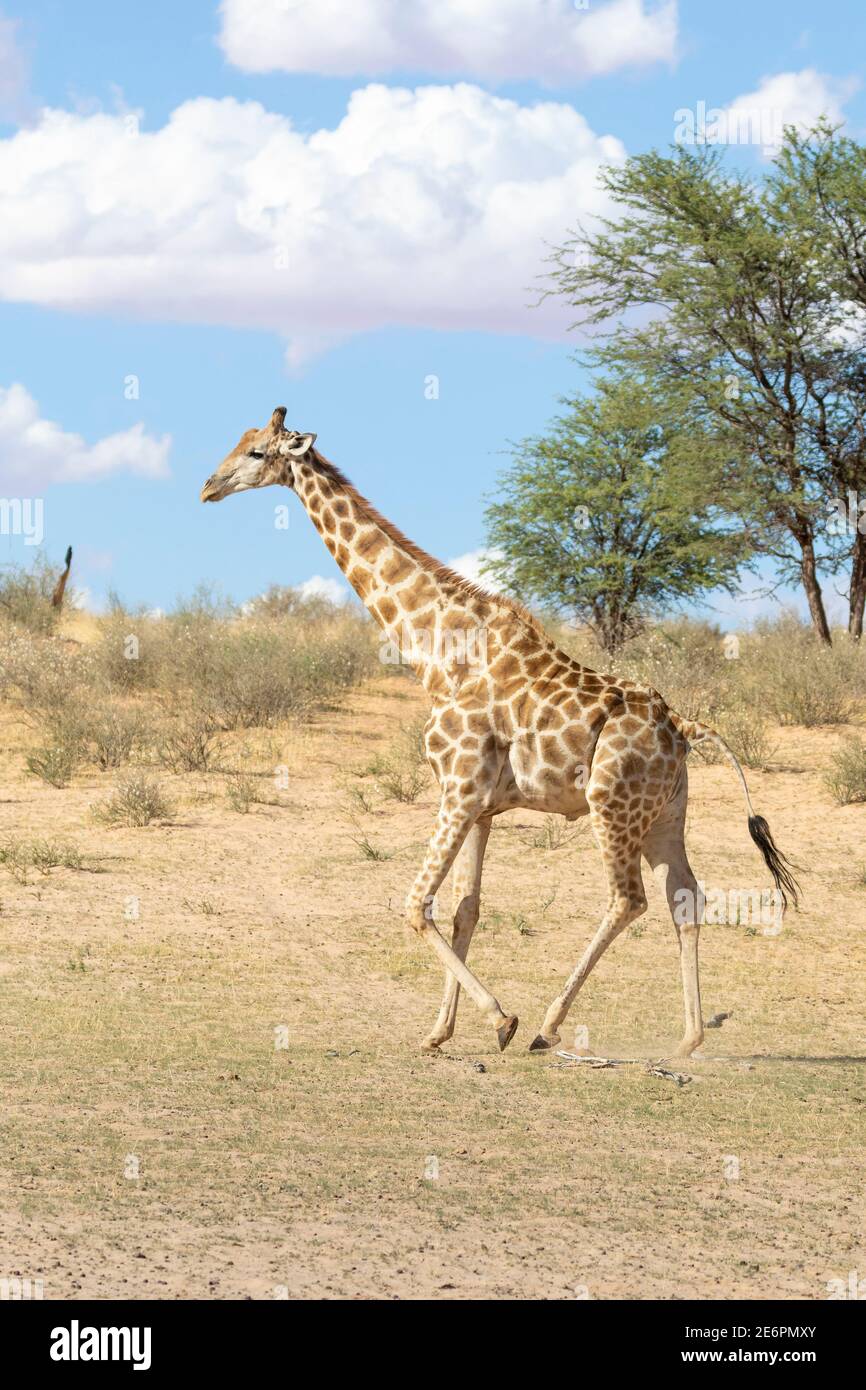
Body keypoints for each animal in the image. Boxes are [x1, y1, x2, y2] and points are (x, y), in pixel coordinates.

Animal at [201, 405, 800, 1056]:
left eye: (257, 452)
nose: (208, 487)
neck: (437, 654)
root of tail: (683, 726)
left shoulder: (458, 789)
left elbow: (416, 904)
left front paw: (500, 1020)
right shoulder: (481, 804)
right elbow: (465, 909)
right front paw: (439, 1030)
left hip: (611, 806)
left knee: (628, 898)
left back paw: (548, 1024)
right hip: (666, 812)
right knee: (683, 895)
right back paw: (687, 1040)